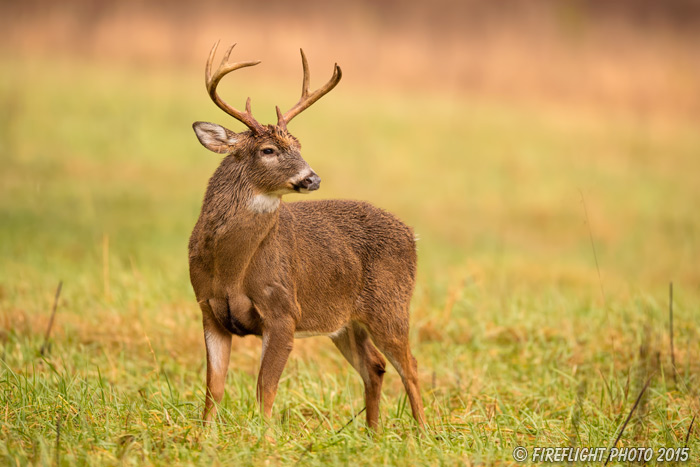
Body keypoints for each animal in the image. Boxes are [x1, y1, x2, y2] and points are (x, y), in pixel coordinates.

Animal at [187, 43, 426, 432]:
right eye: (268, 150)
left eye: (298, 145)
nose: (312, 178)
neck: (231, 271)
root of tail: (412, 234)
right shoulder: (208, 309)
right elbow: (214, 388)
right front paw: (203, 437)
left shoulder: (284, 309)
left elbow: (264, 389)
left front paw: (264, 438)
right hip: (344, 321)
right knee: (375, 366)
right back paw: (372, 434)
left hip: (391, 304)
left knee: (411, 367)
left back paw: (422, 433)